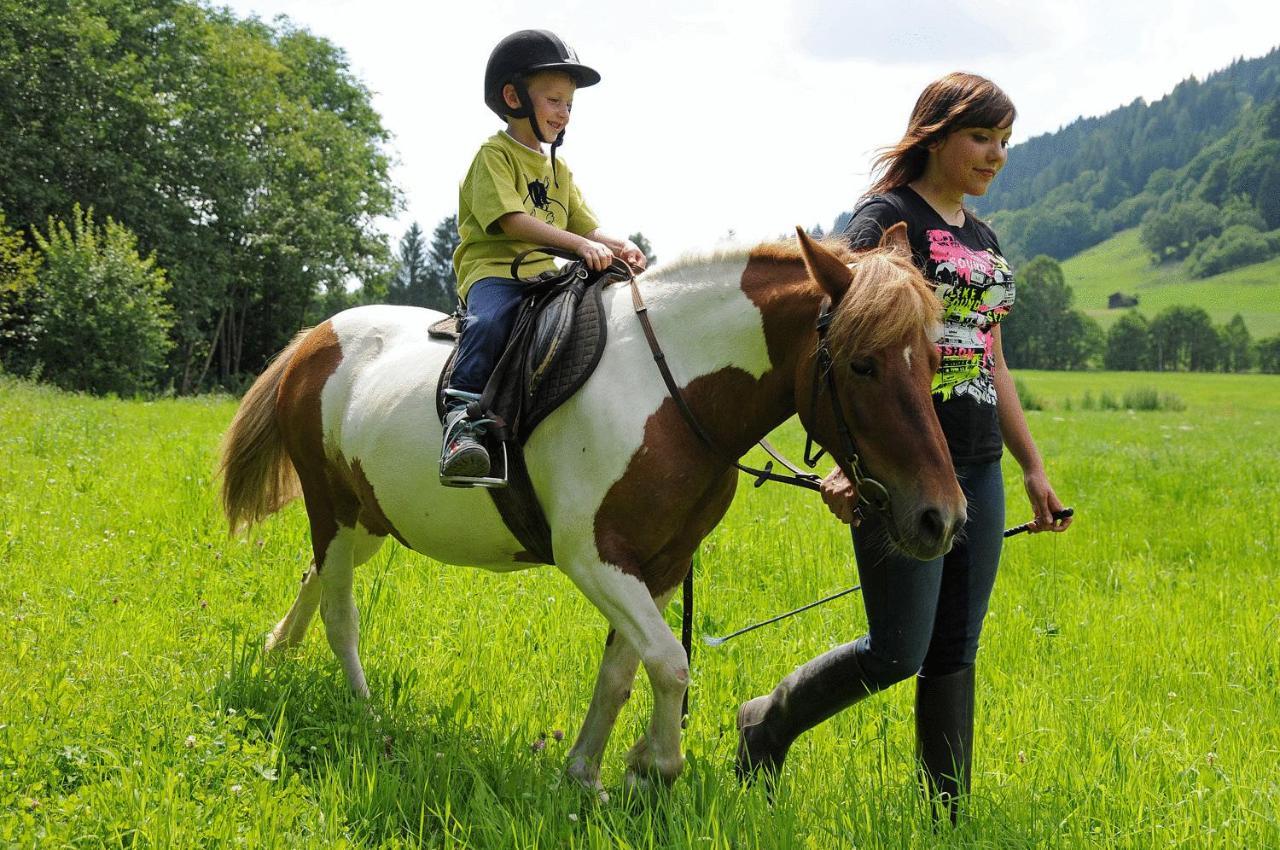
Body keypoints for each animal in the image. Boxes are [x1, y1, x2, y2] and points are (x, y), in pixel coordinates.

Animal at [217, 224, 962, 788]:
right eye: (863, 363)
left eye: (934, 361)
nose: (943, 518)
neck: (666, 391)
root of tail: (316, 337)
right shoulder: (593, 557)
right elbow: (669, 663)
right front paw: (654, 767)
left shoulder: (661, 565)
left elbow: (623, 672)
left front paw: (586, 773)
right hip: (333, 513)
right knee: (340, 613)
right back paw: (366, 715)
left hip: (368, 519)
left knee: (314, 580)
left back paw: (277, 652)